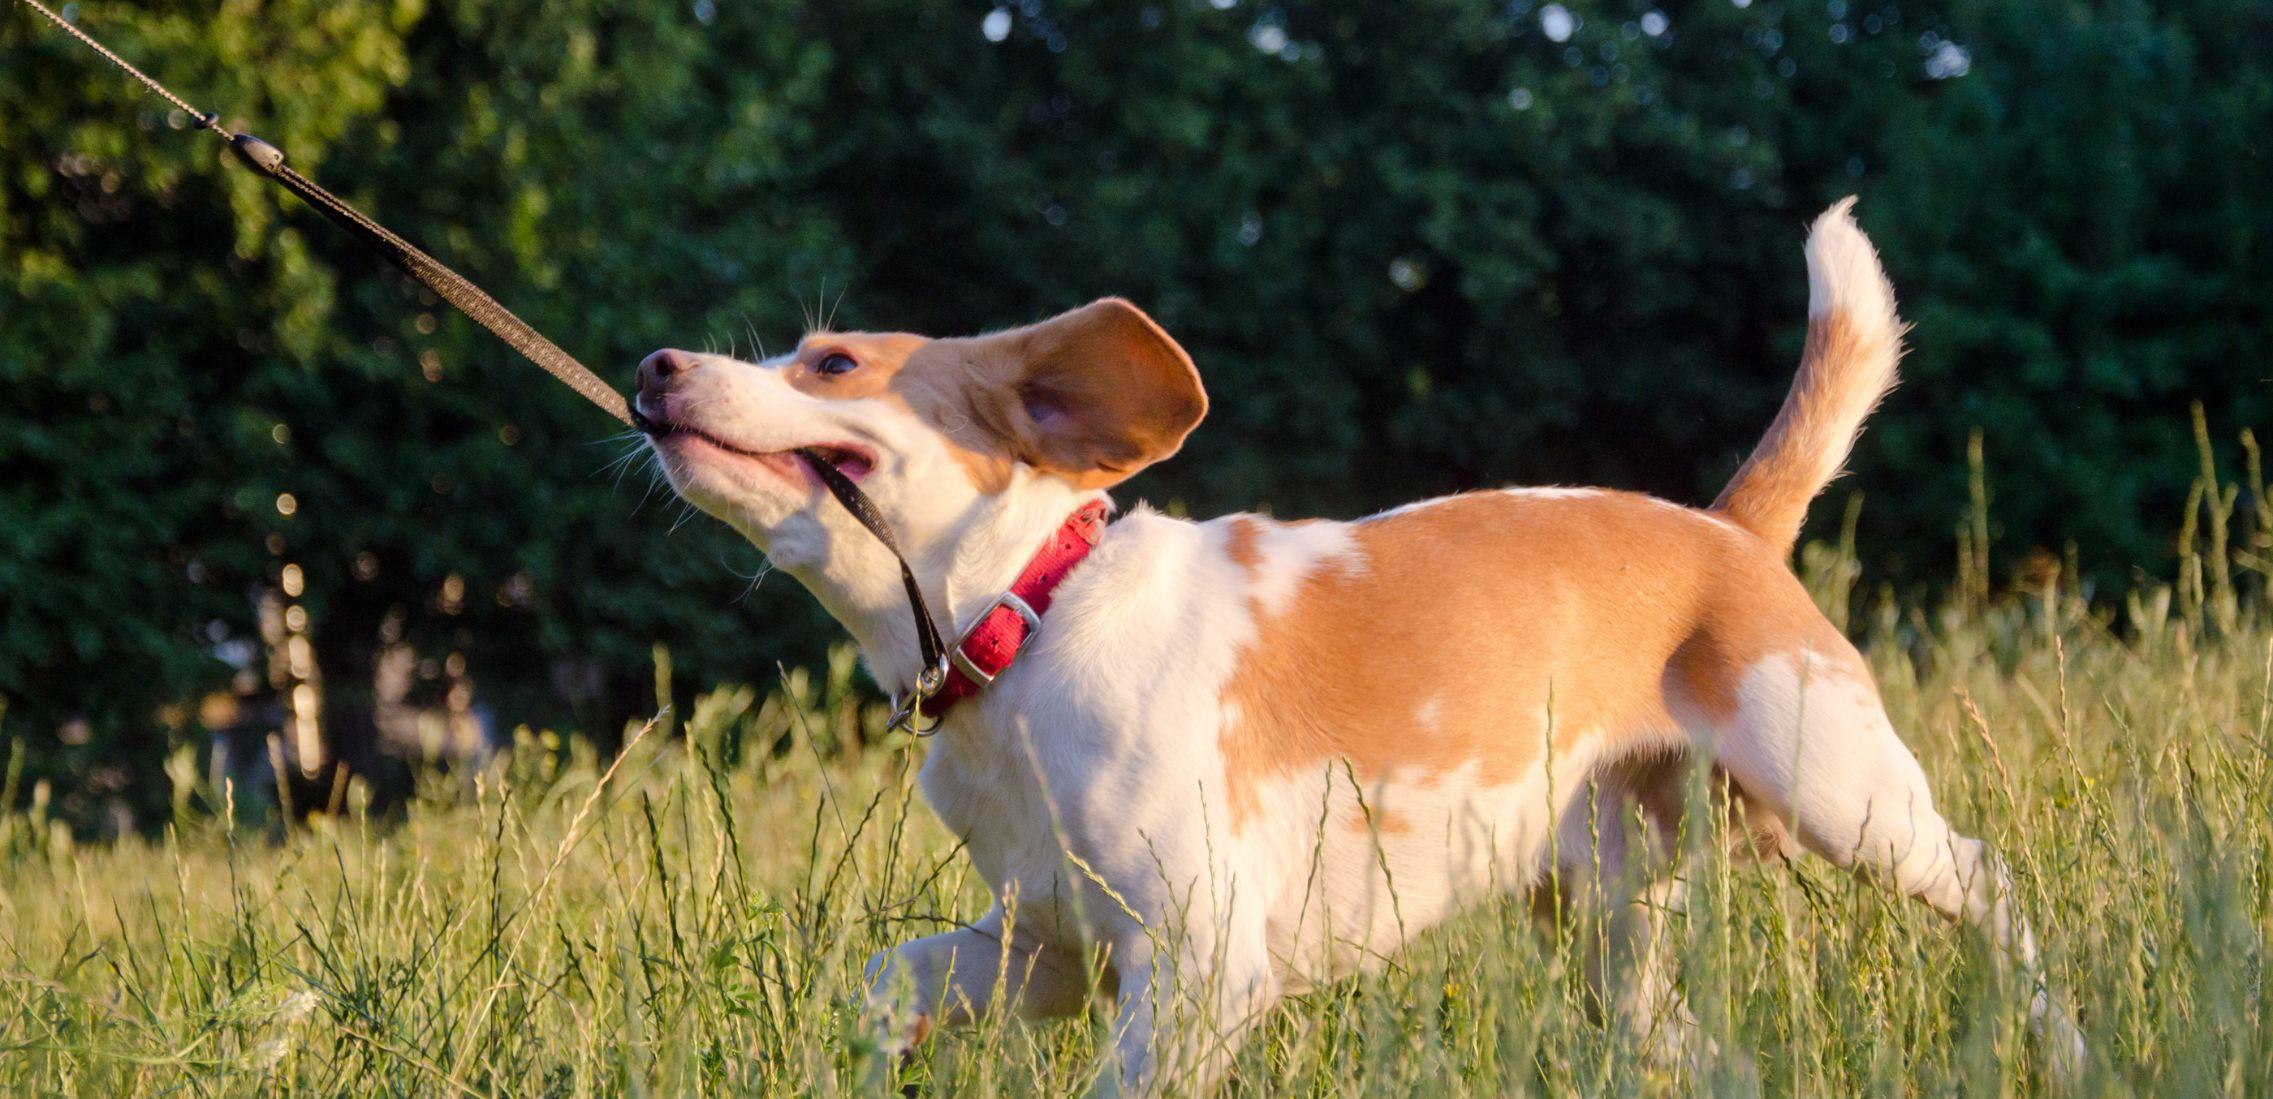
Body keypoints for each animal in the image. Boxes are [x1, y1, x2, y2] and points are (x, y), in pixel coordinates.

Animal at [636, 204, 2082, 1089]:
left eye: (831, 361)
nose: (652, 364)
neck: (1028, 621)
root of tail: (1724, 528)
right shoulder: (1042, 942)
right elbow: (887, 978)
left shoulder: (1199, 961)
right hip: (1602, 922)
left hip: (1841, 789)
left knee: (1992, 881)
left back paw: (2059, 1036)